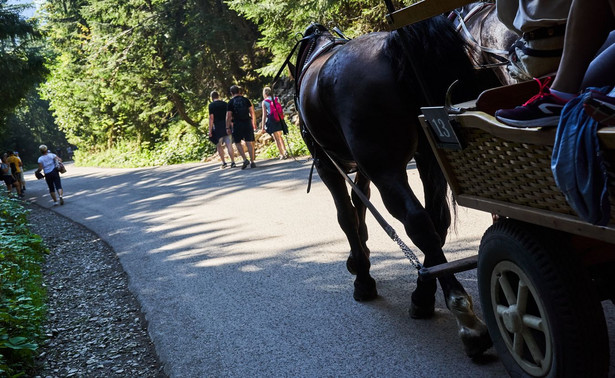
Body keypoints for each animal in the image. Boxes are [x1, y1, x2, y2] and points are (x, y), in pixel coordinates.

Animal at [294, 15, 496, 358]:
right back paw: (423, 295)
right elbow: (359, 208)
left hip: (384, 165)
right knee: (436, 221)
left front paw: (362, 278)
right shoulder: (359, 167)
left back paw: (465, 316)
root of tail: (394, 45)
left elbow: (346, 216)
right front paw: (358, 256)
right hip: (427, 153)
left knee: (417, 221)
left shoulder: (328, 165)